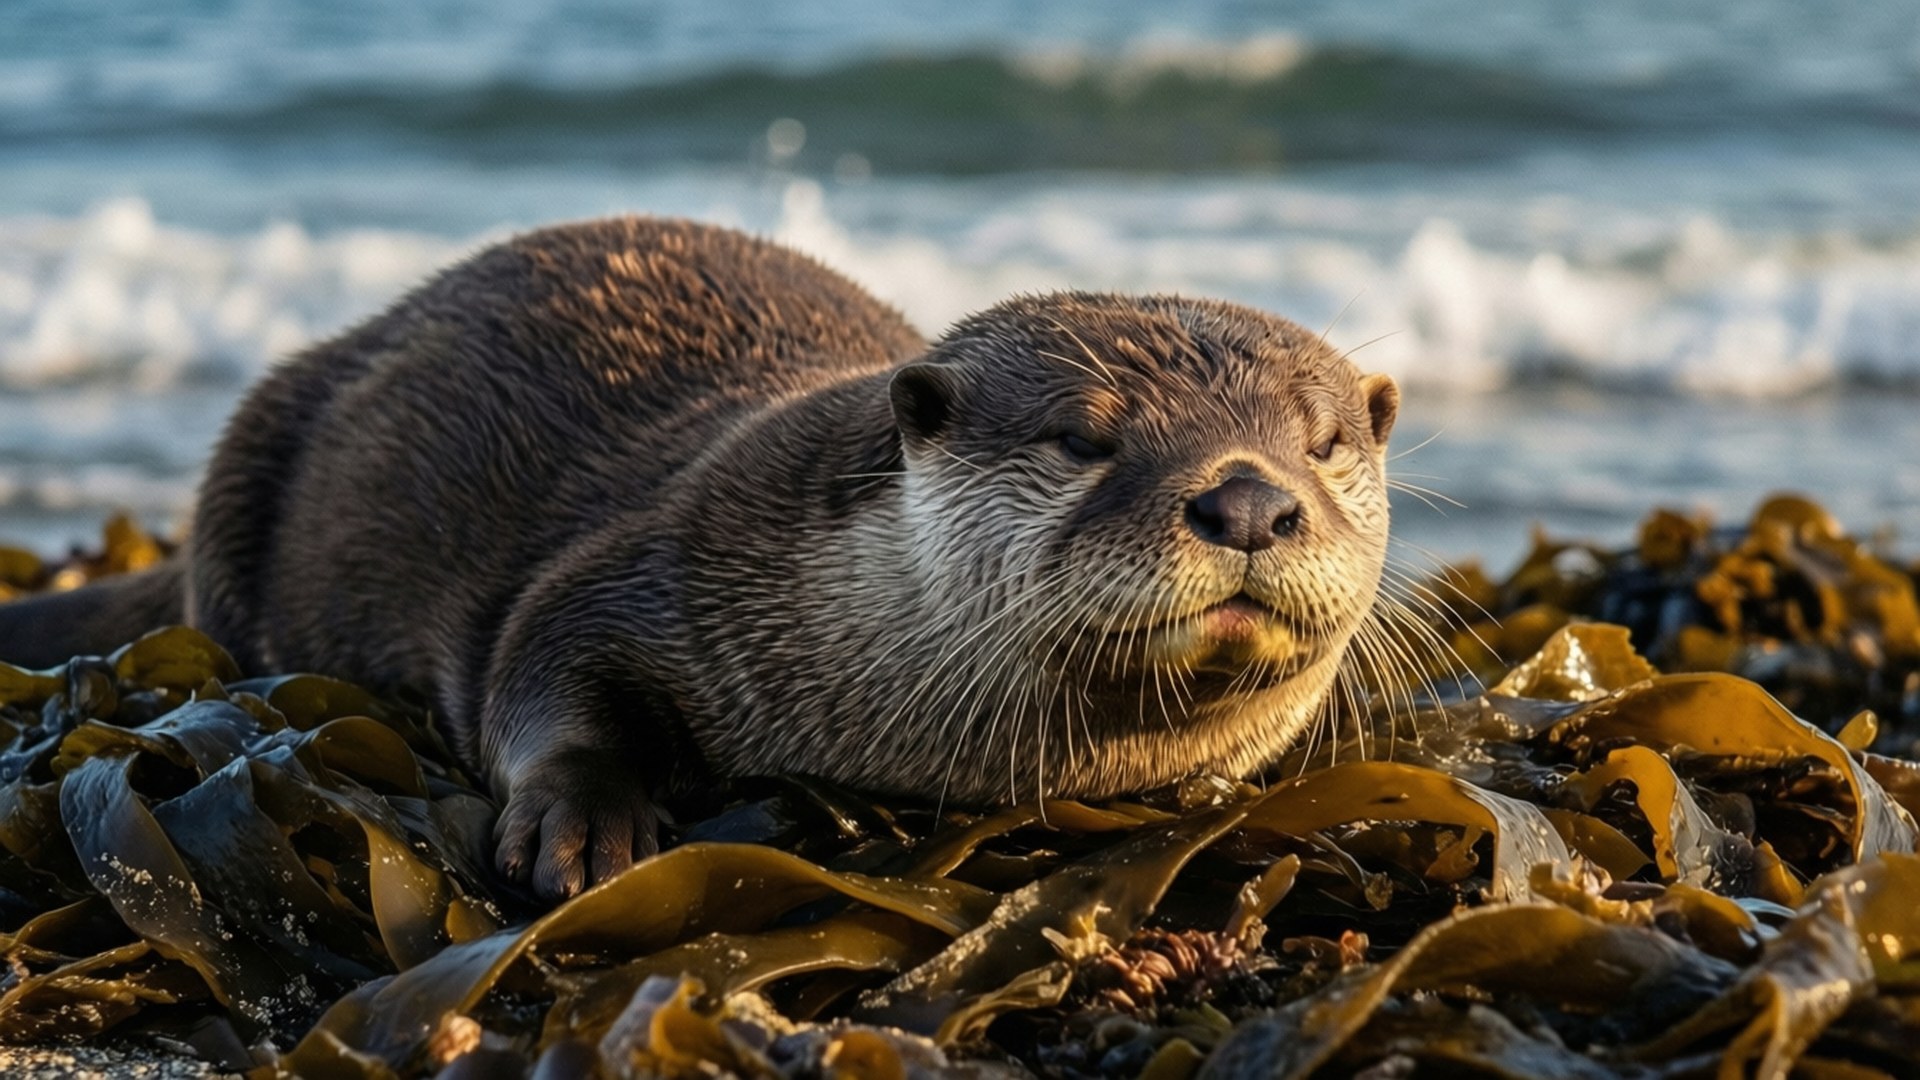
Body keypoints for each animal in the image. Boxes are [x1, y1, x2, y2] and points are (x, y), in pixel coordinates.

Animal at [0, 218, 1402, 900]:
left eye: (1323, 440)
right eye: (1083, 437)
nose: (1249, 500)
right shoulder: (646, 558)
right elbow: (536, 669)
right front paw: (582, 825)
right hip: (253, 464)